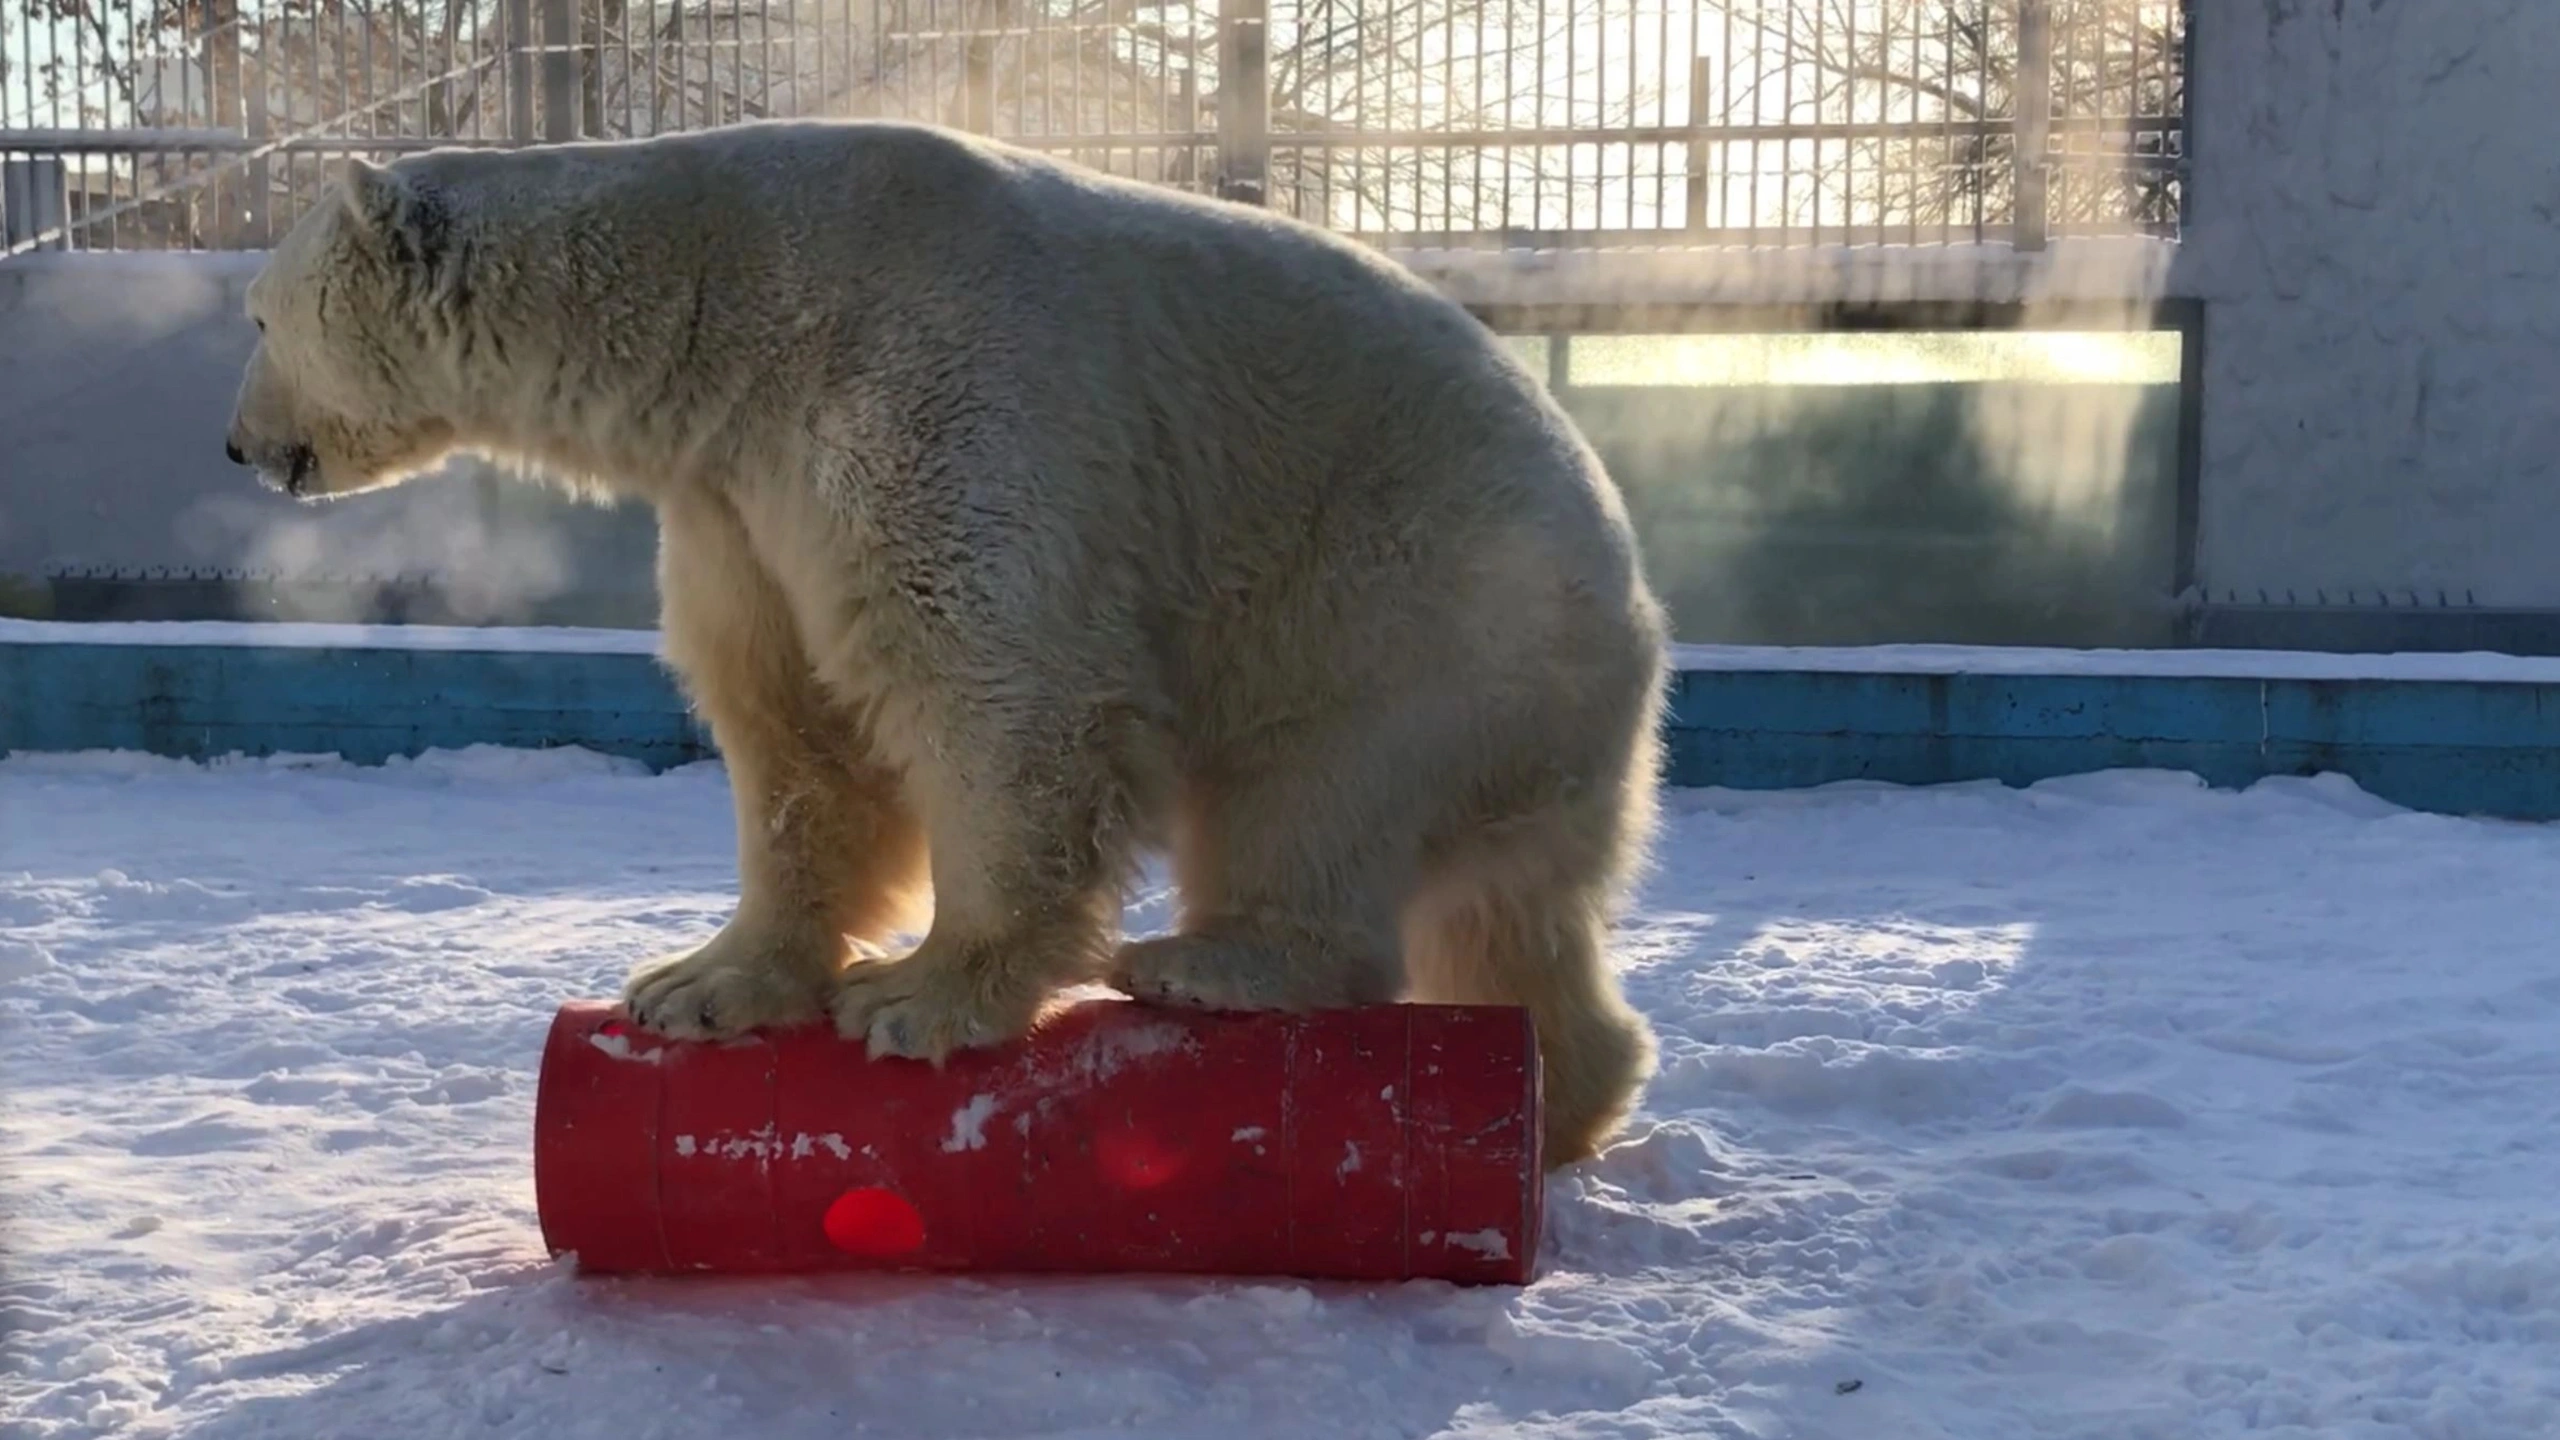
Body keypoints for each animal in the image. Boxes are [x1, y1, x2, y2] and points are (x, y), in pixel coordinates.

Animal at [230, 120, 1669, 1168]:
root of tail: (1639, 619)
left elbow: (994, 680)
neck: (726, 308)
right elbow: (790, 724)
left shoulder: (922, 396)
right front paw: (697, 983)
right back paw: (1568, 1101)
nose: (240, 447)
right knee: (1512, 915)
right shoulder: (736, 496)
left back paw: (1213, 963)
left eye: (254, 316)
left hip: (1409, 603)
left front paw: (920, 996)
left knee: (1314, 795)